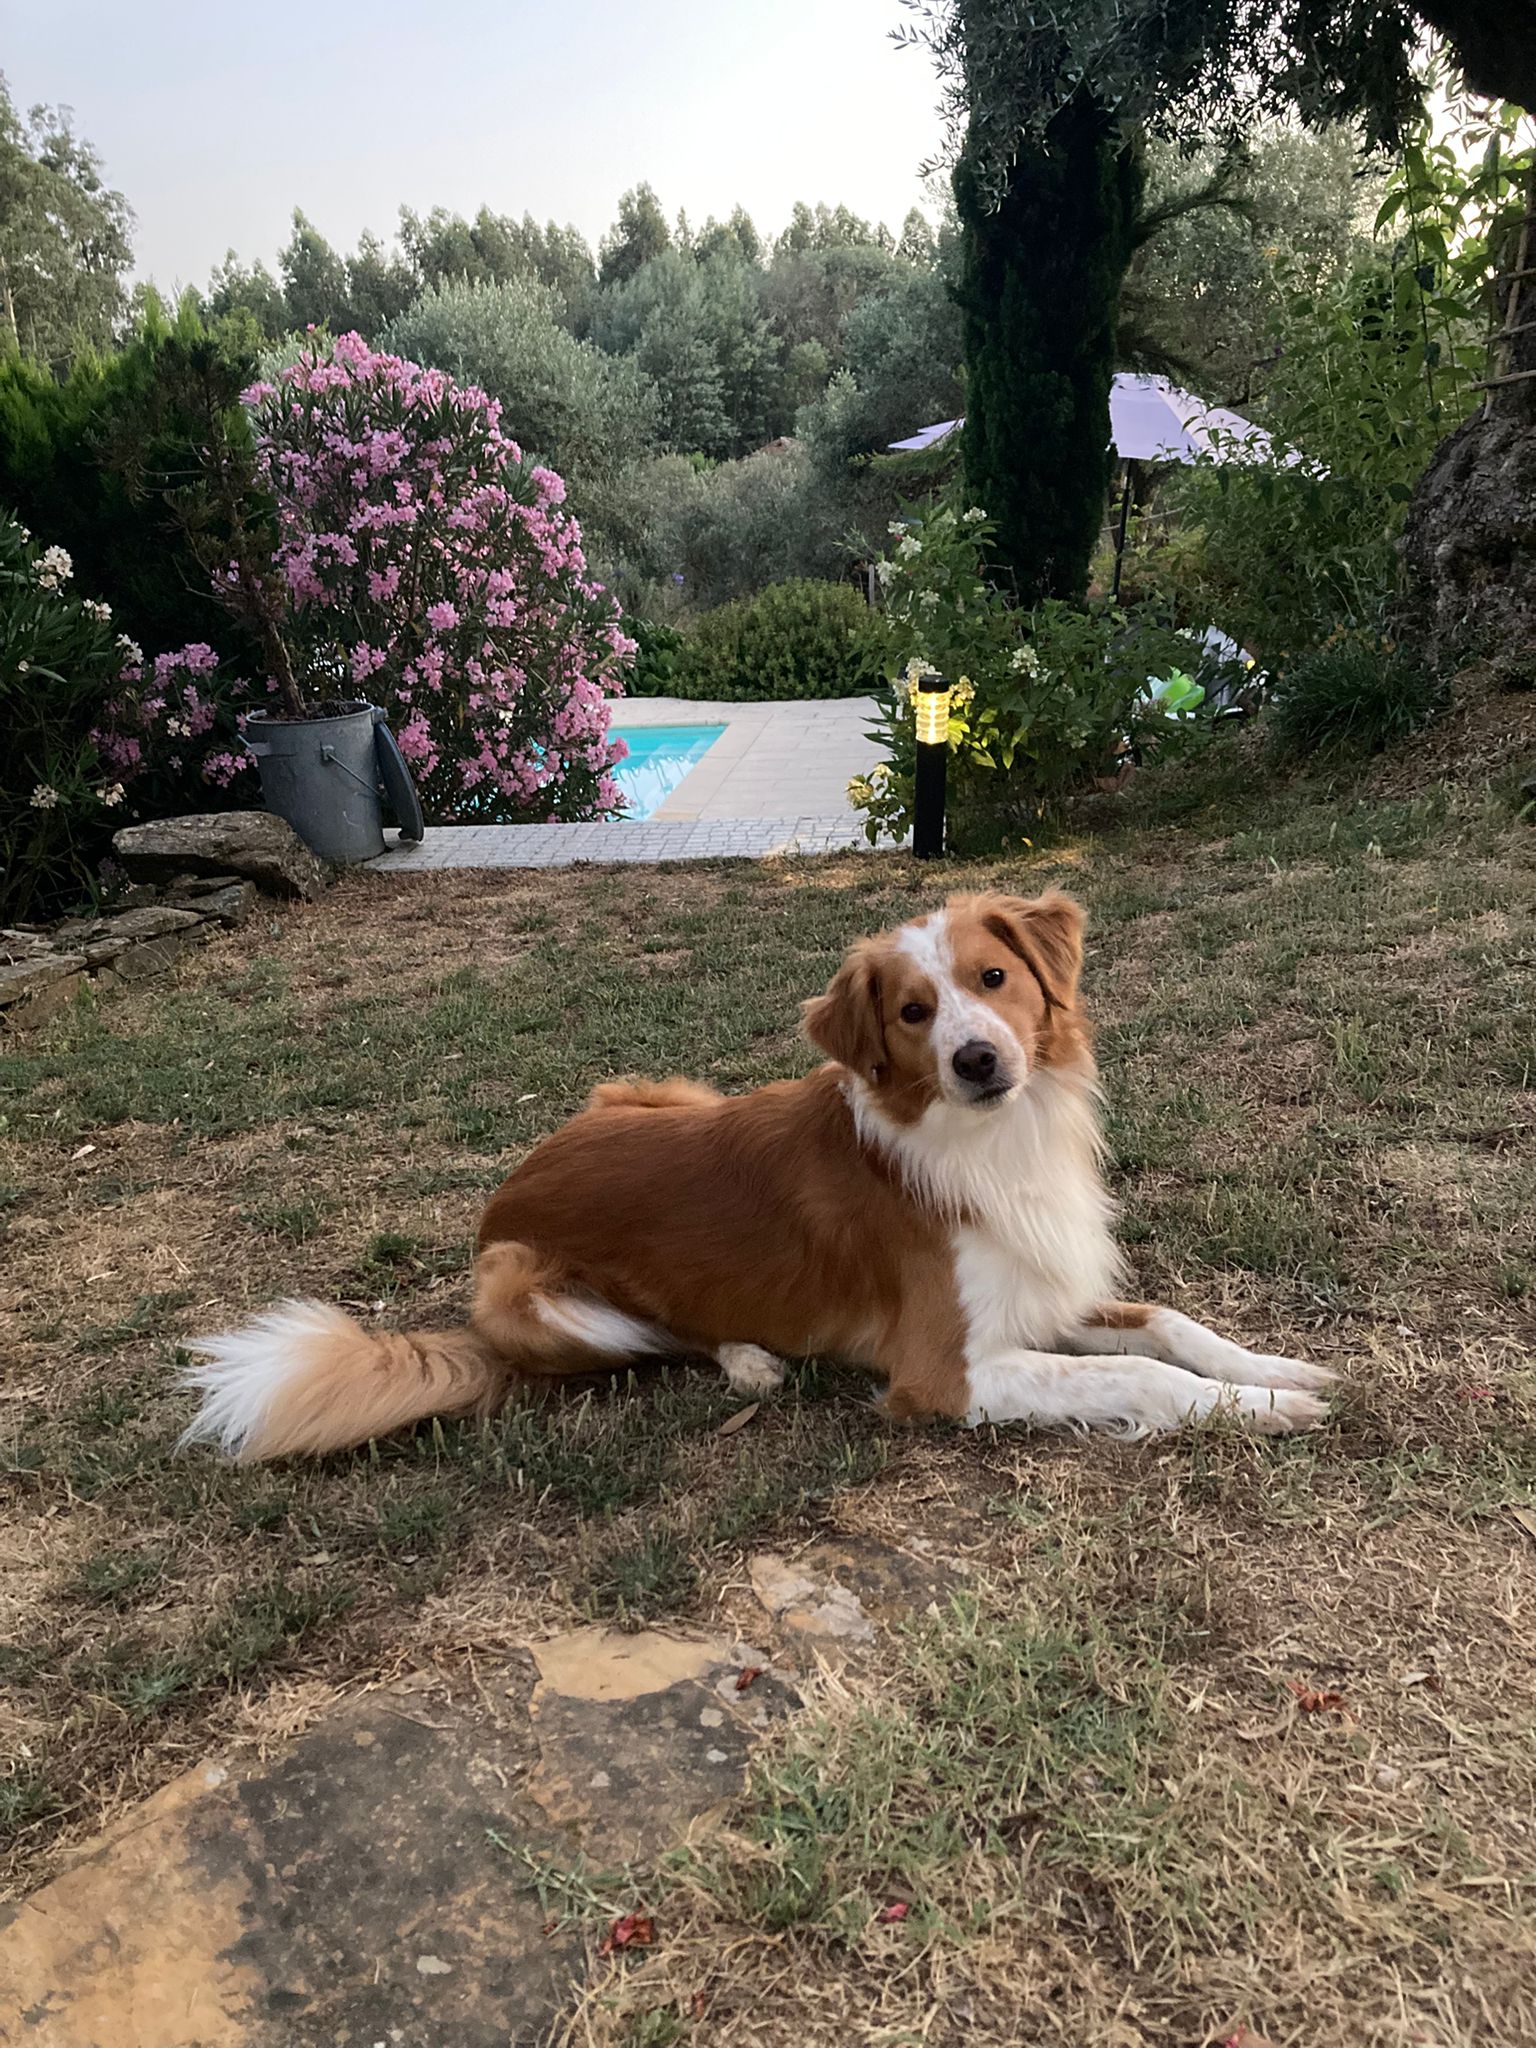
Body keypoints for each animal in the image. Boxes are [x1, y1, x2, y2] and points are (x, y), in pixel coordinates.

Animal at [181, 889, 1333, 1461]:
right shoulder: (944, 1371)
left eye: (996, 977)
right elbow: (1140, 1372)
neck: (986, 1141)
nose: (977, 1059)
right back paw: (746, 1360)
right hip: (528, 1292)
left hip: (661, 1090)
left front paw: (1278, 1370)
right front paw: (1256, 1410)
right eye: (913, 1011)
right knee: (662, 1337)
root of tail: (506, 1187)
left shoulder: (1045, 1286)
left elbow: (1170, 1326)